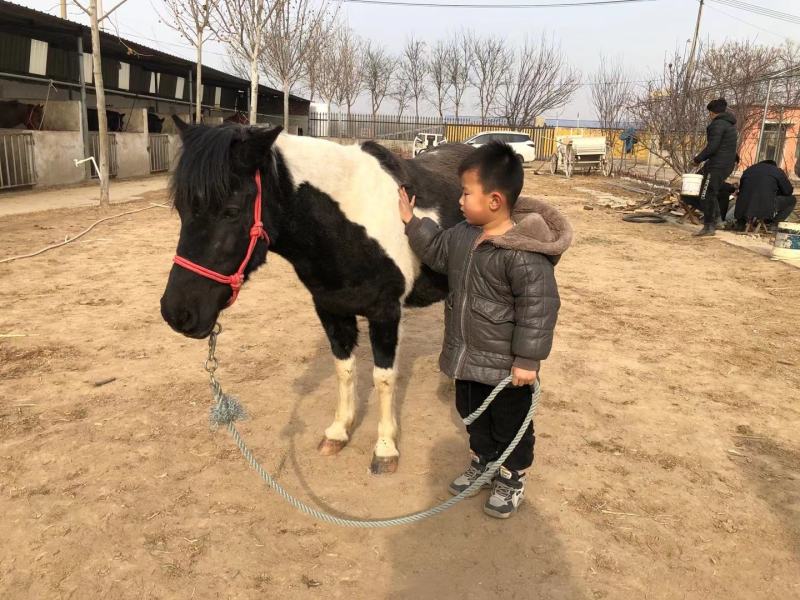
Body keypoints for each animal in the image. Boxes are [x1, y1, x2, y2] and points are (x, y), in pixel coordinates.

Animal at [160, 117, 471, 474]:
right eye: (181, 208)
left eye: (231, 210)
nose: (177, 312)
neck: (348, 223)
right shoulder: (331, 309)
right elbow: (344, 370)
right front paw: (338, 431)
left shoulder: (386, 312)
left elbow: (383, 378)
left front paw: (385, 448)